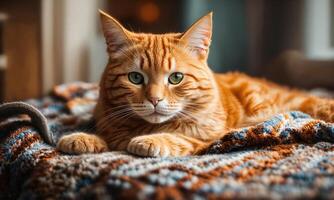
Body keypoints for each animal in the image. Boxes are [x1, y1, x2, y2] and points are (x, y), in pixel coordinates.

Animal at [56, 10, 332, 157]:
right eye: (135, 77)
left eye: (176, 78)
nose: (154, 99)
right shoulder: (106, 117)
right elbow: (104, 131)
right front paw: (84, 137)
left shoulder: (210, 135)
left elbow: (179, 137)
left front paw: (150, 140)